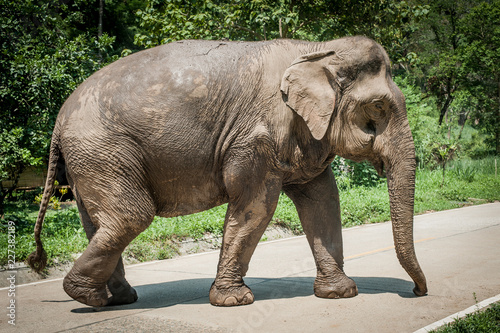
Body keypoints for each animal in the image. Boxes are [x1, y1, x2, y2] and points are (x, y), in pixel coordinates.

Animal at [27, 35, 426, 306]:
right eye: (378, 107)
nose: (417, 291)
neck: (317, 49)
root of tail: (58, 121)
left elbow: (323, 200)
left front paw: (340, 293)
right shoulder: (257, 136)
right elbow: (257, 207)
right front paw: (234, 301)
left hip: (91, 159)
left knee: (101, 222)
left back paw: (117, 298)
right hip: (103, 150)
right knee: (131, 216)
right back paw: (88, 298)